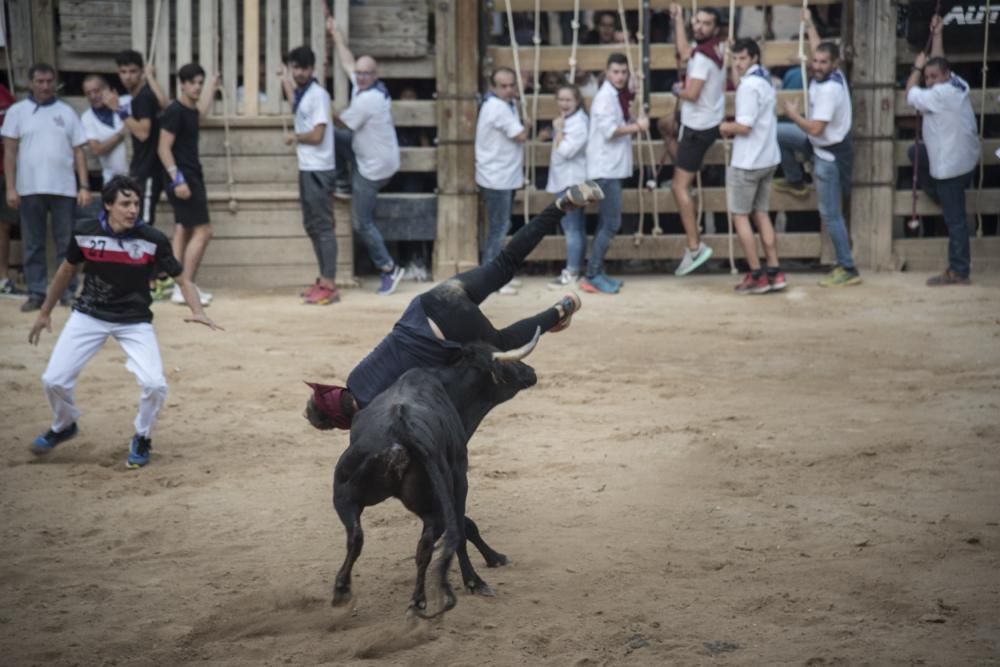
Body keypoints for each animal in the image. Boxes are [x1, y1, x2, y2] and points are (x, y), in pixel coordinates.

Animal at [330, 332, 540, 620]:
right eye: (506, 361)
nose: (531, 372)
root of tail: (401, 428)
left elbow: (463, 526)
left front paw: (492, 559)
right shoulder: (459, 475)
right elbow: (463, 527)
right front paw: (482, 572)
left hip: (344, 493)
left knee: (359, 536)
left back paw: (346, 590)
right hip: (436, 499)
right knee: (432, 542)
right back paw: (432, 597)